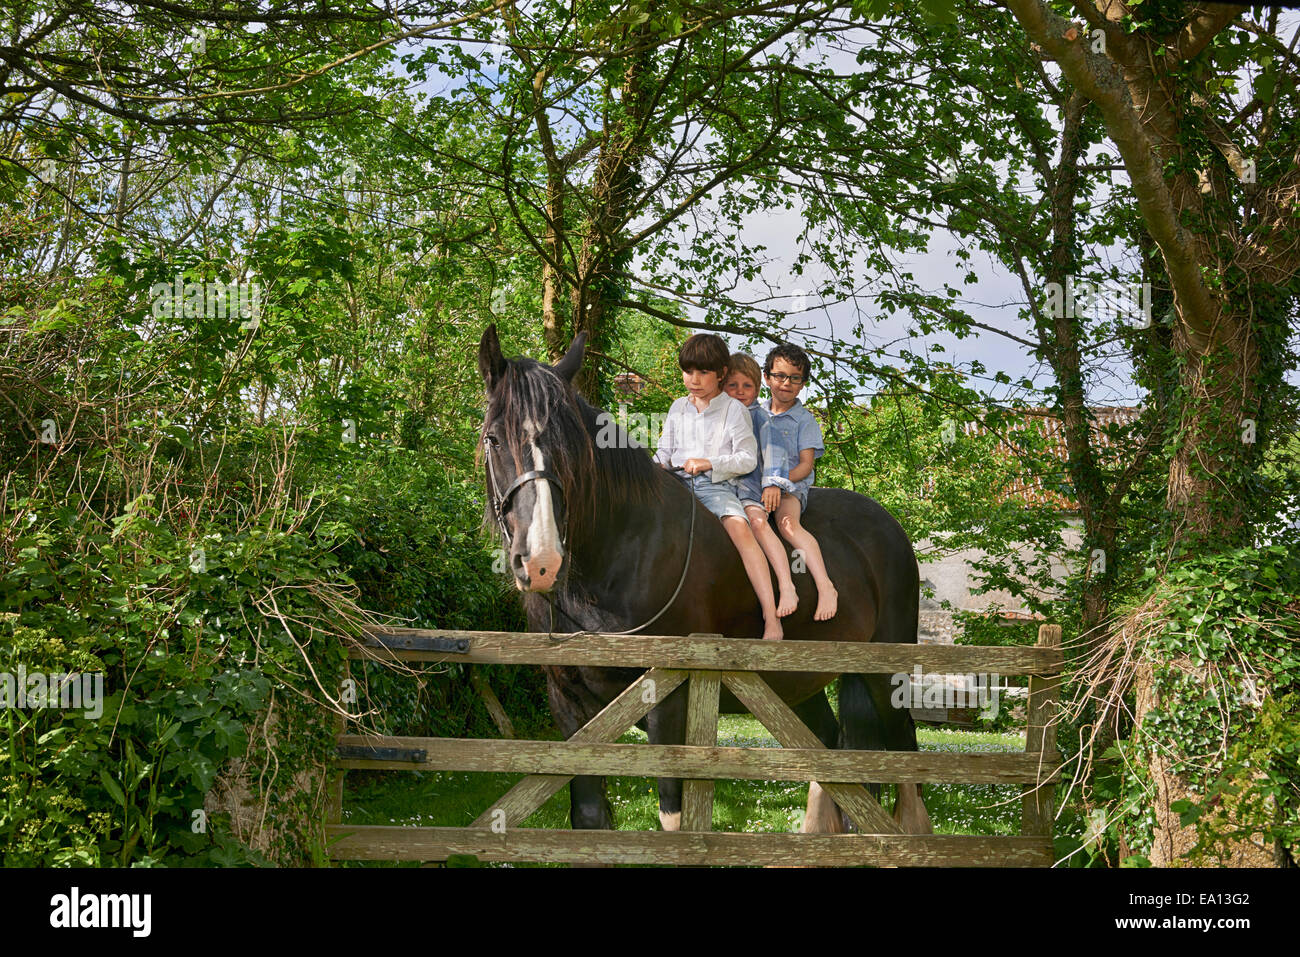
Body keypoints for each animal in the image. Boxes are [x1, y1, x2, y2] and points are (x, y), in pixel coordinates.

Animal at [478, 327, 935, 837]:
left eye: (569, 442)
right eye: (493, 438)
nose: (540, 559)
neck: (617, 554)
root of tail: (890, 528)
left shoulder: (669, 699)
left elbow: (673, 815)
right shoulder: (568, 704)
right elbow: (589, 816)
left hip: (886, 673)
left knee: (907, 763)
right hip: (796, 683)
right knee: (831, 753)